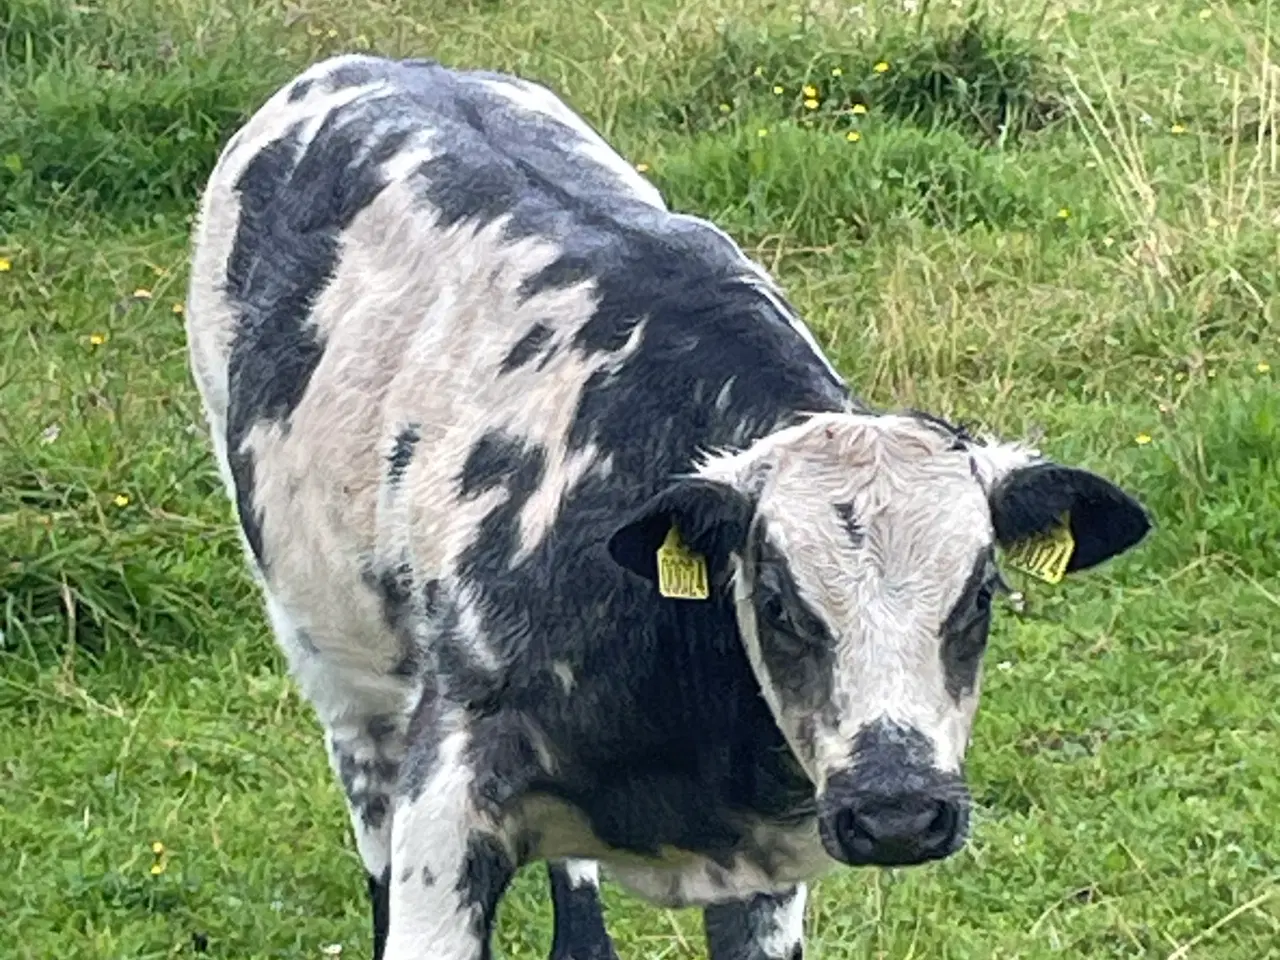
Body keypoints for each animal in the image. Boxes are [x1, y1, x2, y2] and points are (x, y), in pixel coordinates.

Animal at [185, 54, 1157, 960]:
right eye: (778, 603)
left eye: (982, 594)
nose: (898, 814)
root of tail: (367, 64)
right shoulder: (448, 804)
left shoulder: (770, 879)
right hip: (341, 677)